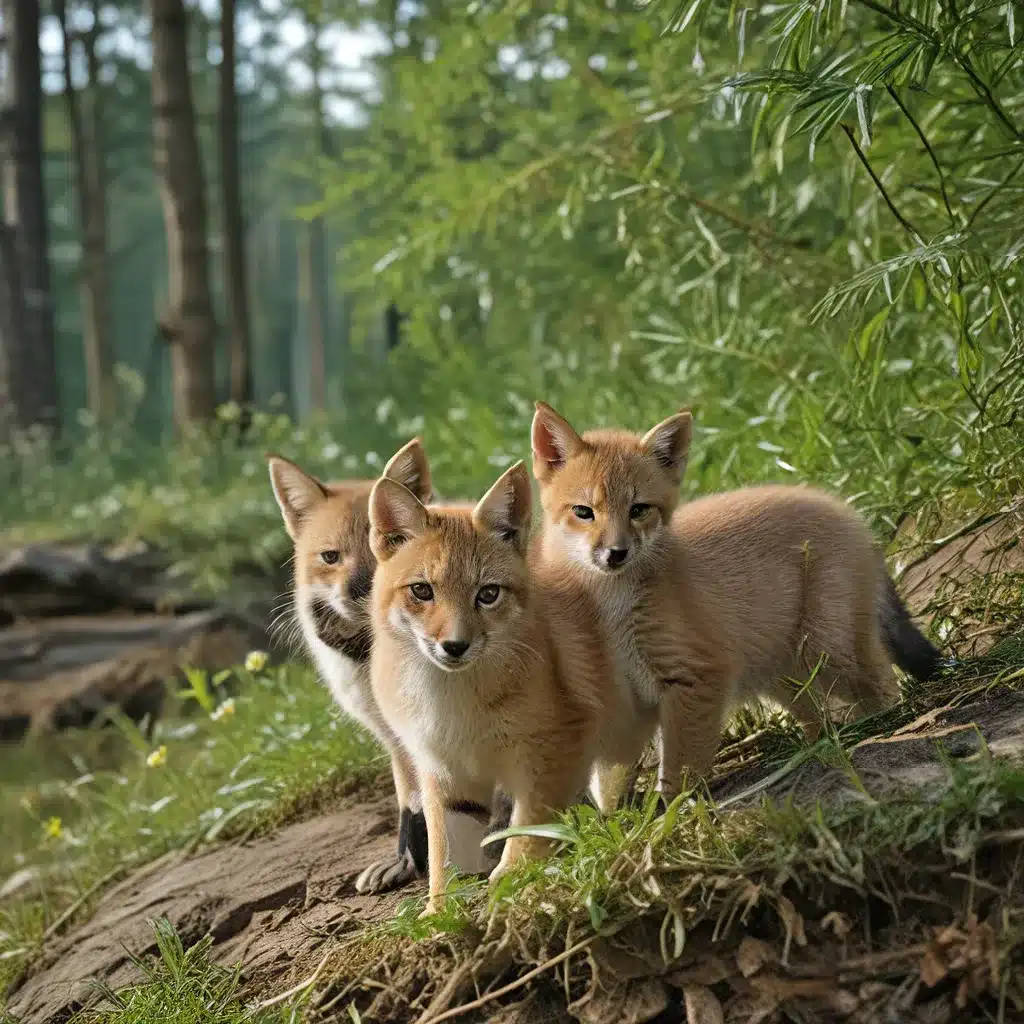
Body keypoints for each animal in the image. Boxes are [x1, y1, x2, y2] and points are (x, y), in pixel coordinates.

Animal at [370, 460, 614, 917]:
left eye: (487, 594)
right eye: (421, 590)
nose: (454, 646)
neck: (450, 696)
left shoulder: (553, 747)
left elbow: (530, 823)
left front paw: (514, 878)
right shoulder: (443, 770)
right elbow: (443, 854)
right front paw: (437, 914)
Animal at [528, 399, 942, 806]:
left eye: (639, 510)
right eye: (583, 512)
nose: (616, 554)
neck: (609, 614)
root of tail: (850, 514)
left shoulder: (699, 675)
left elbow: (678, 775)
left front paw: (675, 814)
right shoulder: (626, 702)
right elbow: (609, 786)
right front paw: (620, 822)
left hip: (828, 653)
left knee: (884, 688)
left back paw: (881, 727)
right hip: (782, 672)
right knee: (819, 715)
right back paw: (818, 745)